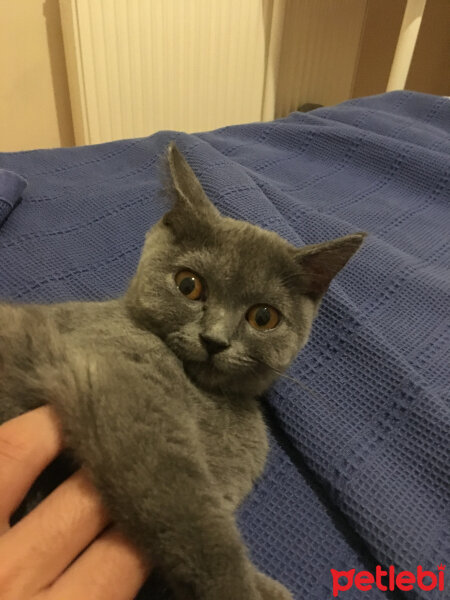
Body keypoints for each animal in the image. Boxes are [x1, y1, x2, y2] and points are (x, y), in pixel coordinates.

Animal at [0, 143, 366, 596]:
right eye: (189, 285)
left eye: (263, 317)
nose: (214, 340)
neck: (210, 400)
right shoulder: (129, 400)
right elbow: (198, 528)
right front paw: (245, 589)